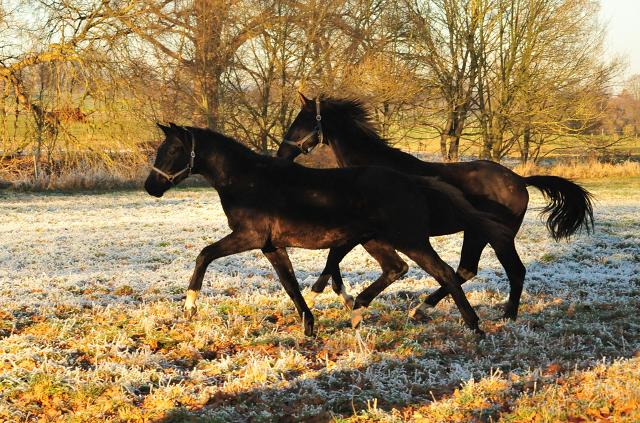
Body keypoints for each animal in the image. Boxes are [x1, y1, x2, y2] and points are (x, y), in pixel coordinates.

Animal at [145, 123, 510, 338]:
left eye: (174, 150)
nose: (151, 186)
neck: (247, 180)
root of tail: (413, 180)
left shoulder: (248, 237)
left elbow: (204, 254)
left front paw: (189, 306)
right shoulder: (270, 246)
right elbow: (290, 284)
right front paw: (309, 326)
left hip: (410, 239)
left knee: (445, 272)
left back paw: (473, 327)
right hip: (376, 241)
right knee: (396, 269)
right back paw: (357, 311)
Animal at [278, 93, 596, 322]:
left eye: (302, 120)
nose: (282, 153)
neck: (373, 168)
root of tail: (520, 179)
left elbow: (334, 255)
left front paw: (323, 295)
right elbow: (335, 256)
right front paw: (340, 296)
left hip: (497, 235)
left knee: (512, 271)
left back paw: (507, 316)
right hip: (476, 232)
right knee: (466, 270)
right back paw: (422, 308)